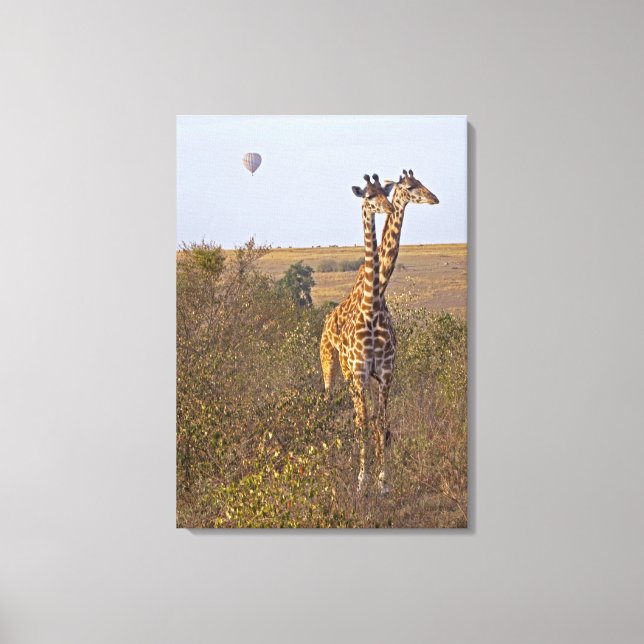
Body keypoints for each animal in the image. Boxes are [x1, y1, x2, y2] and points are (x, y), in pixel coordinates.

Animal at [320, 169, 439, 394]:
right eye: (410, 186)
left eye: (420, 182)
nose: (434, 198)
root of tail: (327, 321)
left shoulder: (383, 371)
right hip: (329, 359)